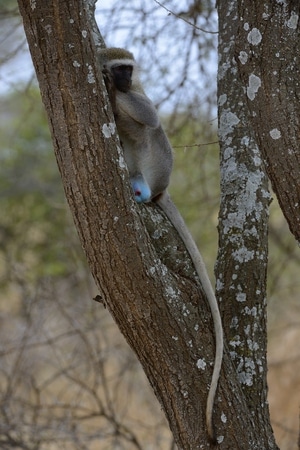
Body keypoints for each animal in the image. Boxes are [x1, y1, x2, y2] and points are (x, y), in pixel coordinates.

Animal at [98, 47, 223, 442]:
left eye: (128, 69)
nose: (122, 81)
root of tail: (158, 187)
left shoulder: (139, 92)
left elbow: (151, 116)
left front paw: (112, 92)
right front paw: (110, 89)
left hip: (157, 166)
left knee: (151, 130)